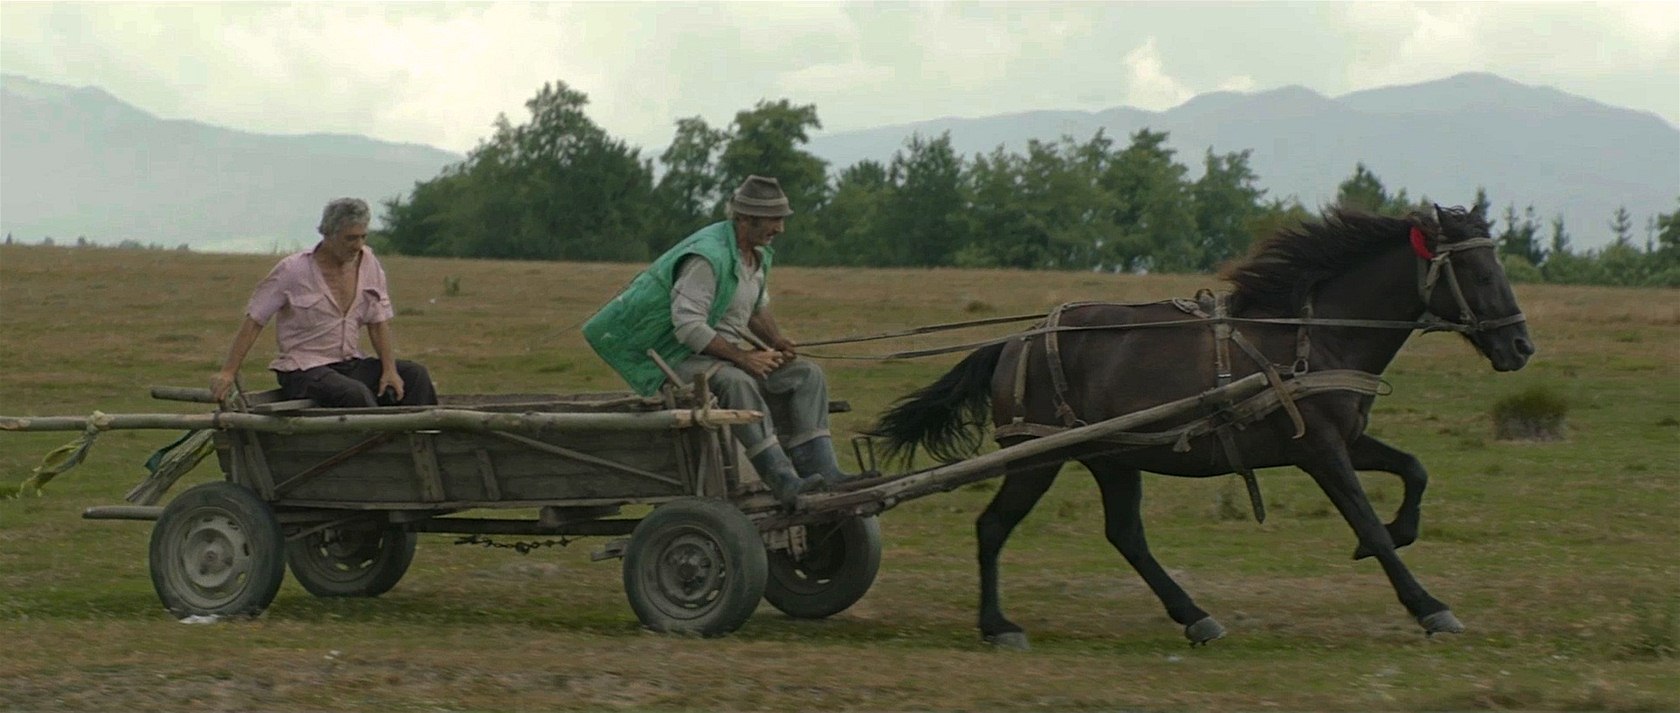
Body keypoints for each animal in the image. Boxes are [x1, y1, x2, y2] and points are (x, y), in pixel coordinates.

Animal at [867, 203, 1534, 650]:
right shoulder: (1320, 450)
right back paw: (997, 625)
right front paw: (1427, 605)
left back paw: (1195, 617)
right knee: (993, 527)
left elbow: (1414, 471)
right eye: (1479, 274)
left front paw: (1397, 534)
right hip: (1037, 458)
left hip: (1111, 457)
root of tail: (1014, 342)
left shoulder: (1347, 440)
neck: (1314, 337)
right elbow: (1364, 514)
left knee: (1125, 536)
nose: (1522, 346)